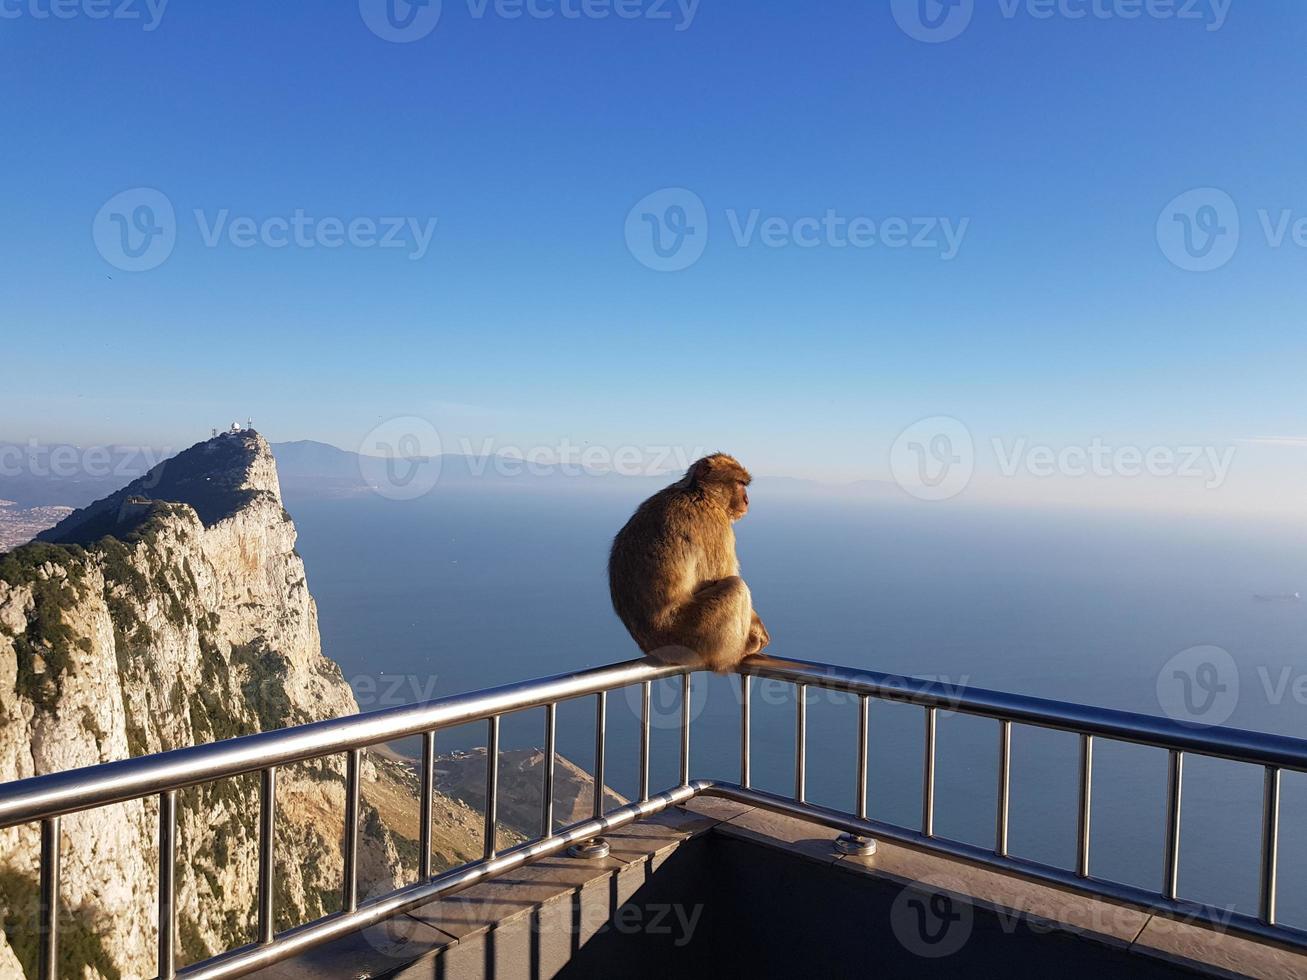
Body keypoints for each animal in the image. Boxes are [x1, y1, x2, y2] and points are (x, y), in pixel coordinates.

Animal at [606, 454, 768, 674]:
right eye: (740, 483)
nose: (747, 500)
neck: (699, 493)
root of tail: (655, 649)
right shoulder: (715, 525)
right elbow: (722, 574)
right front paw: (758, 630)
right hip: (692, 636)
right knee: (735, 586)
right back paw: (735, 654)